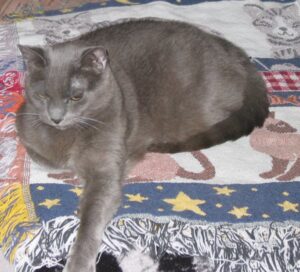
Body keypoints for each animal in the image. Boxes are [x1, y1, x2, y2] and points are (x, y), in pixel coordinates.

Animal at [16, 19, 268, 272]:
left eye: (76, 96)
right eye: (43, 96)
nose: (56, 117)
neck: (68, 134)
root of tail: (237, 53)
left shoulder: (105, 169)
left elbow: (92, 215)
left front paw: (78, 263)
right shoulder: (25, 127)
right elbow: (44, 157)